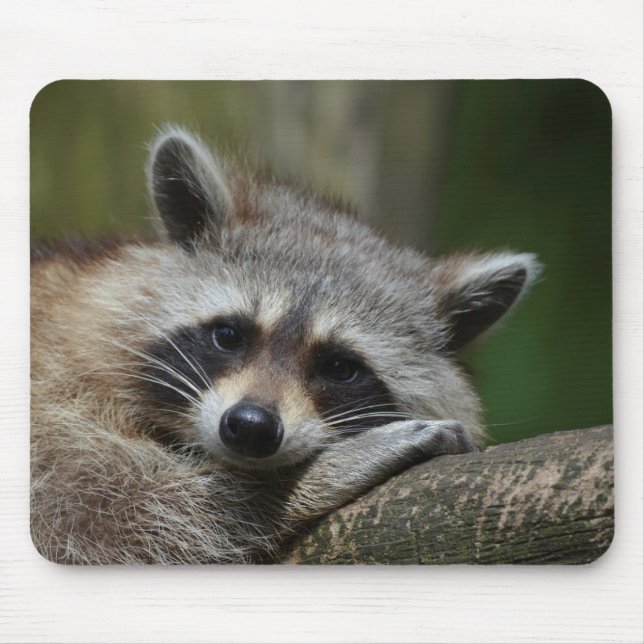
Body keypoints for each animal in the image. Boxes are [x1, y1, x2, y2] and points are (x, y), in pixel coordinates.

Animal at [30, 126, 540, 564]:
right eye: (229, 335)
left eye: (340, 367)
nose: (251, 426)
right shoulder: (54, 402)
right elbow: (102, 517)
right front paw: (319, 474)